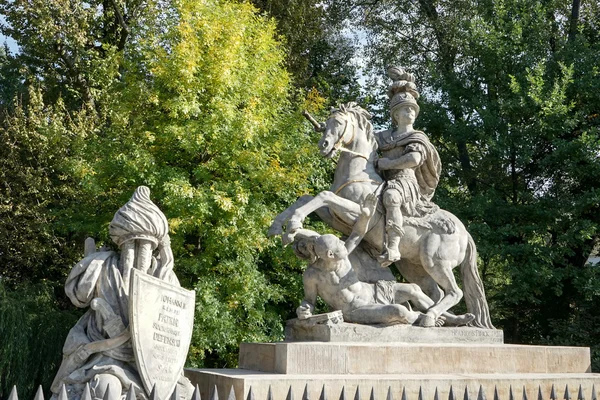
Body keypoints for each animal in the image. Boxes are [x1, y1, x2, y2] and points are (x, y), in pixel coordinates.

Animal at [270, 102, 494, 328]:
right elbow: (306, 198)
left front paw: (293, 224)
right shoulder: (334, 216)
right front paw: (279, 227)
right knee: (436, 293)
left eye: (340, 123)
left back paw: (430, 318)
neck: (357, 174)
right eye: (326, 123)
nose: (323, 145)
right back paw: (451, 319)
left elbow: (324, 195)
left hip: (435, 261)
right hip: (415, 268)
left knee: (455, 292)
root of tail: (465, 233)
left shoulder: (359, 212)